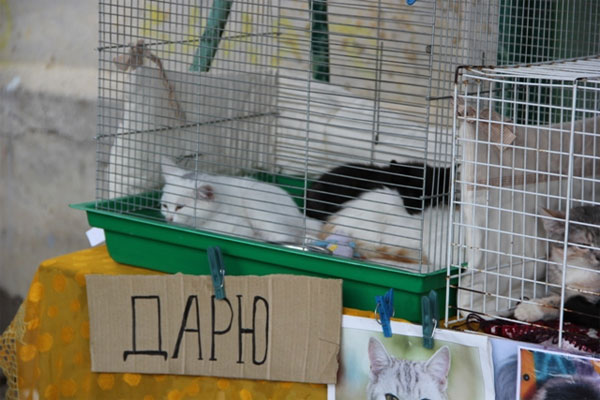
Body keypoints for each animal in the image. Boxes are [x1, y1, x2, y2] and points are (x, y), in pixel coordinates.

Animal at [160, 159, 322, 243]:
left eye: (180, 207)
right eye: (165, 206)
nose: (169, 218)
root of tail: (298, 214)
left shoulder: (238, 226)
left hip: (256, 202)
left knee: (283, 237)